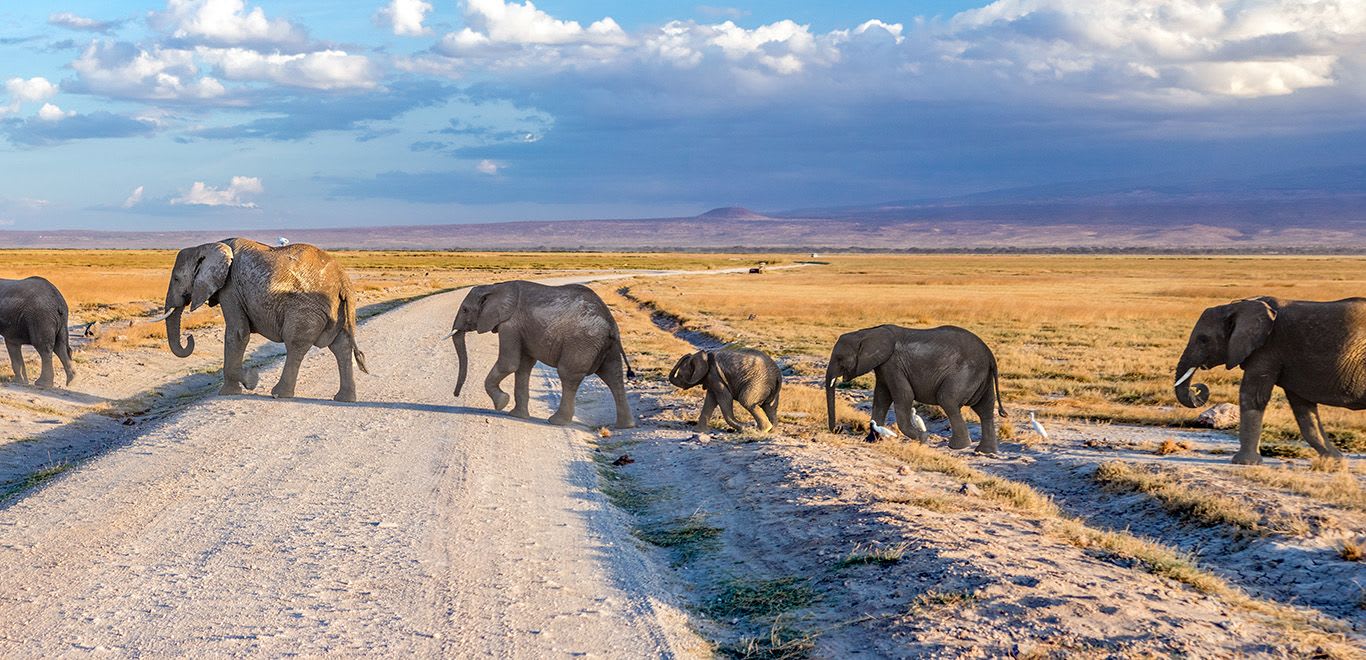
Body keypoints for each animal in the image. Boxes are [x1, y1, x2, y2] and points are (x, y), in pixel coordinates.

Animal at [159, 239, 368, 401]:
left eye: (176, 279)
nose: (189, 338)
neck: (208, 246)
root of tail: (343, 281)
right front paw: (241, 385)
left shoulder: (230, 288)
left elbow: (237, 333)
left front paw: (248, 381)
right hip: (340, 310)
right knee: (341, 346)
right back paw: (344, 399)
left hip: (305, 310)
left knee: (296, 344)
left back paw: (279, 394)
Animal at [450, 280, 636, 429]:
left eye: (465, 309)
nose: (456, 395)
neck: (495, 287)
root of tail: (611, 323)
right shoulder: (521, 329)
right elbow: (523, 367)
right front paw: (516, 415)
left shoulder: (510, 325)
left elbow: (509, 363)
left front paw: (501, 403)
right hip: (605, 345)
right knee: (613, 376)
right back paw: (625, 426)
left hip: (582, 342)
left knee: (568, 375)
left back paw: (556, 421)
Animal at [819, 325, 1005, 453]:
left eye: (840, 358)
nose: (838, 429)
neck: (866, 332)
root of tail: (990, 355)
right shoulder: (883, 366)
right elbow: (881, 398)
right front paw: (870, 440)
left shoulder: (893, 364)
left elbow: (904, 396)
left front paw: (922, 439)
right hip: (981, 376)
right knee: (985, 410)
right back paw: (984, 451)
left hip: (965, 373)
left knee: (948, 400)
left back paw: (957, 447)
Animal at [1174, 296, 1366, 467]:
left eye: (1203, 339)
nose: (1197, 388)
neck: (1239, 306)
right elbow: (1303, 410)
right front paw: (1335, 461)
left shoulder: (1266, 350)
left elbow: (1253, 396)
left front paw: (1245, 462)